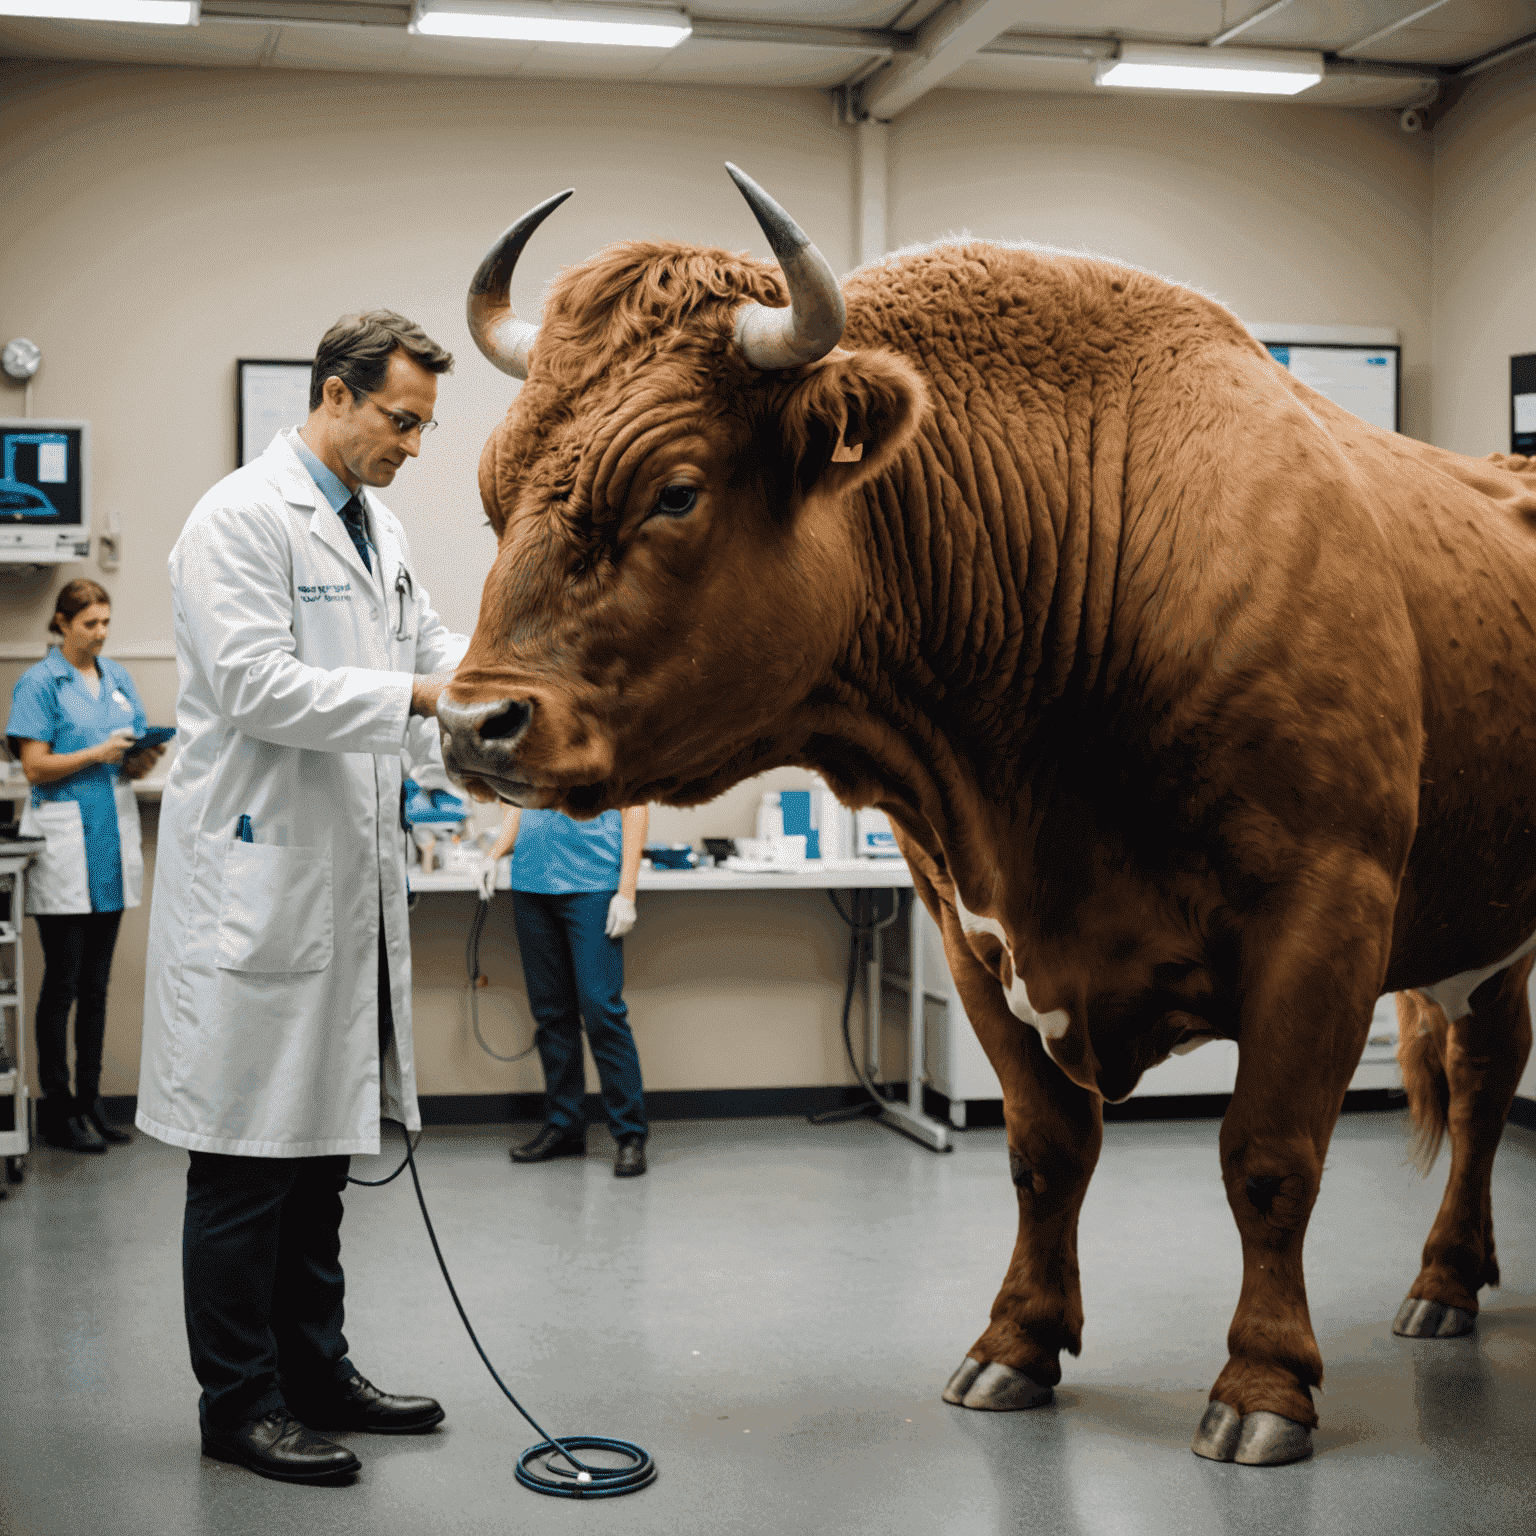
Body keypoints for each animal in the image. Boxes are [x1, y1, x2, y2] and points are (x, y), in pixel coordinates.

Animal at [436, 168, 1536, 1462]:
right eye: (492, 490)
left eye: (675, 490)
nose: (470, 722)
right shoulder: (969, 928)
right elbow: (1043, 1149)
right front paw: (1017, 1344)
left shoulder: (1326, 910)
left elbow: (1268, 1158)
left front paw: (1264, 1384)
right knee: (1485, 1071)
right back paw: (1449, 1282)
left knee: (1480, 1084)